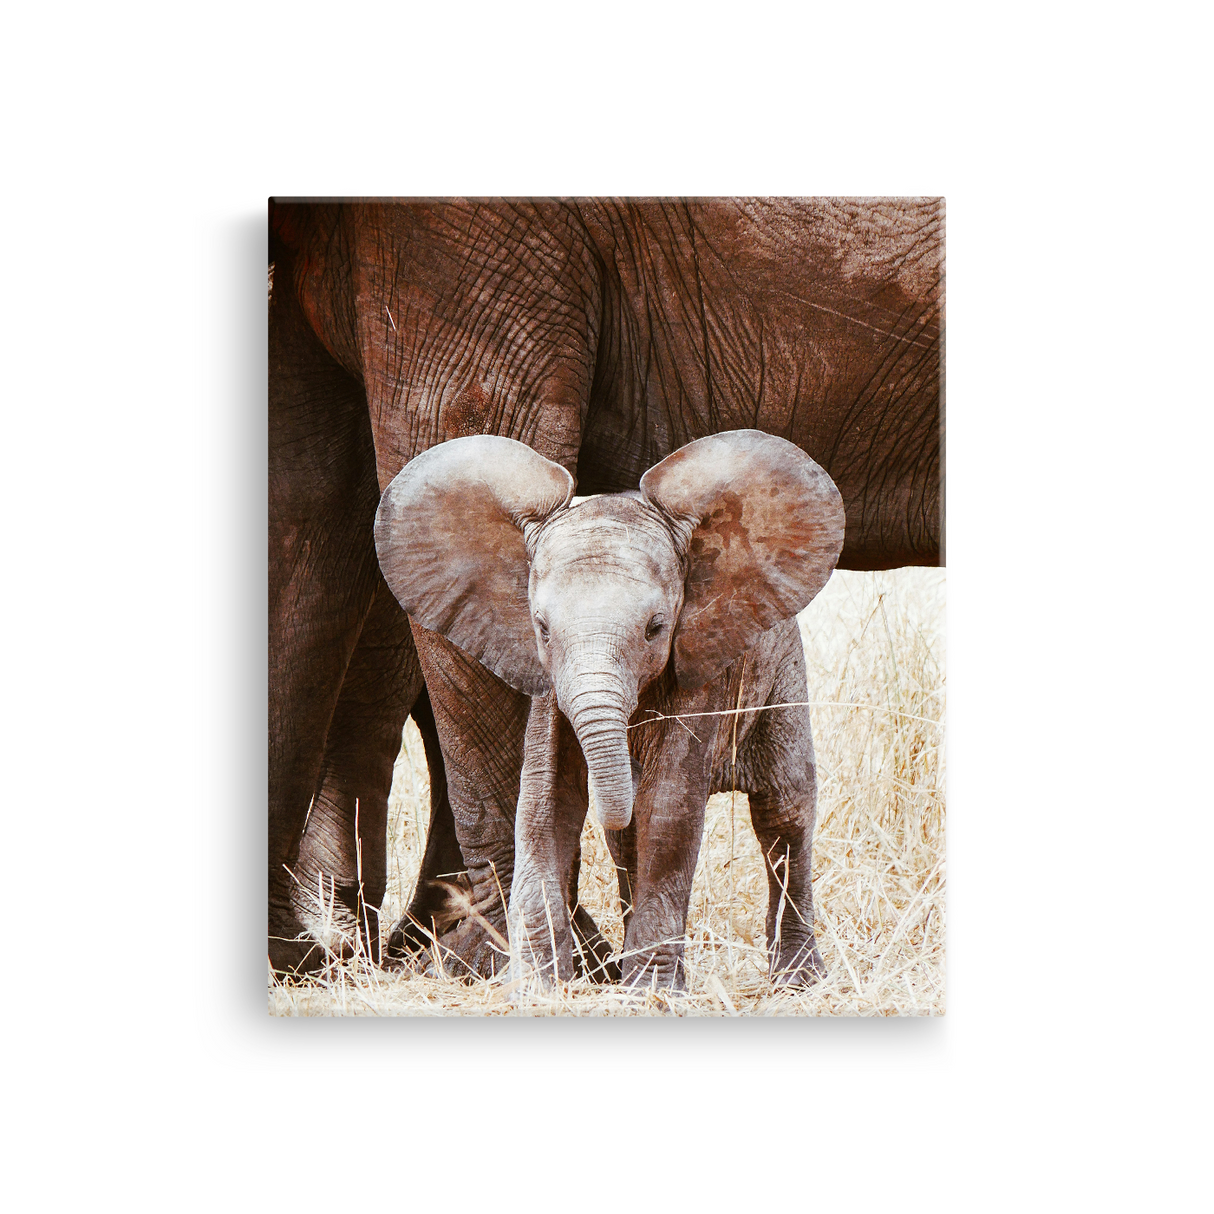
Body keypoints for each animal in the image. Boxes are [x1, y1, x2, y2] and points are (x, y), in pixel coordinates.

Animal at [373, 431, 845, 989]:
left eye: (656, 628)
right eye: (542, 629)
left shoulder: (700, 669)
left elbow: (669, 807)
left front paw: (653, 993)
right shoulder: (550, 691)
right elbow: (544, 804)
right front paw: (541, 987)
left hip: (782, 673)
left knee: (784, 811)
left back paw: (797, 979)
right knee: (628, 846)